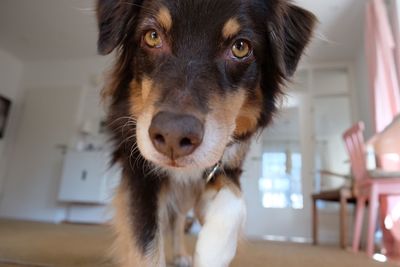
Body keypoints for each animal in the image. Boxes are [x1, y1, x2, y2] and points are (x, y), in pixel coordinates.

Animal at [96, 1, 316, 266]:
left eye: (241, 47)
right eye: (152, 36)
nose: (172, 136)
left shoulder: (227, 164)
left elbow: (233, 199)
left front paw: (213, 251)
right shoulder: (139, 171)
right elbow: (146, 245)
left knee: (179, 217)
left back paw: (181, 253)